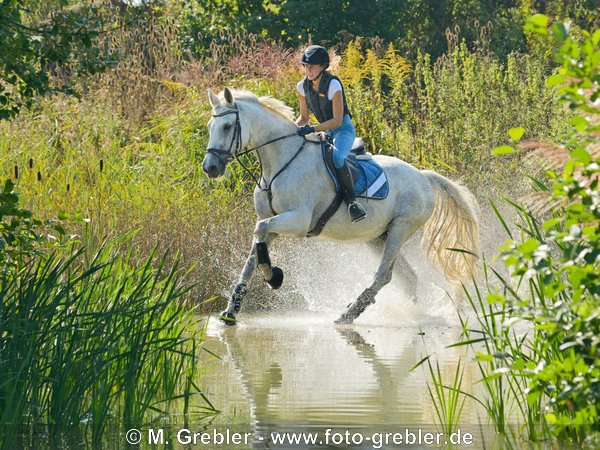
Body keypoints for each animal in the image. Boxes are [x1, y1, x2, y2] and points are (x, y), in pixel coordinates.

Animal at [202, 87, 478, 324]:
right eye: (210, 126)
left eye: (227, 126)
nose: (210, 168)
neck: (280, 162)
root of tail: (423, 176)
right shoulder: (272, 221)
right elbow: (252, 258)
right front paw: (230, 312)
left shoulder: (297, 220)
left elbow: (259, 234)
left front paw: (273, 277)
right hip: (378, 237)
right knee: (406, 278)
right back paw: (412, 314)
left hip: (401, 228)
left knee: (383, 275)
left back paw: (349, 314)